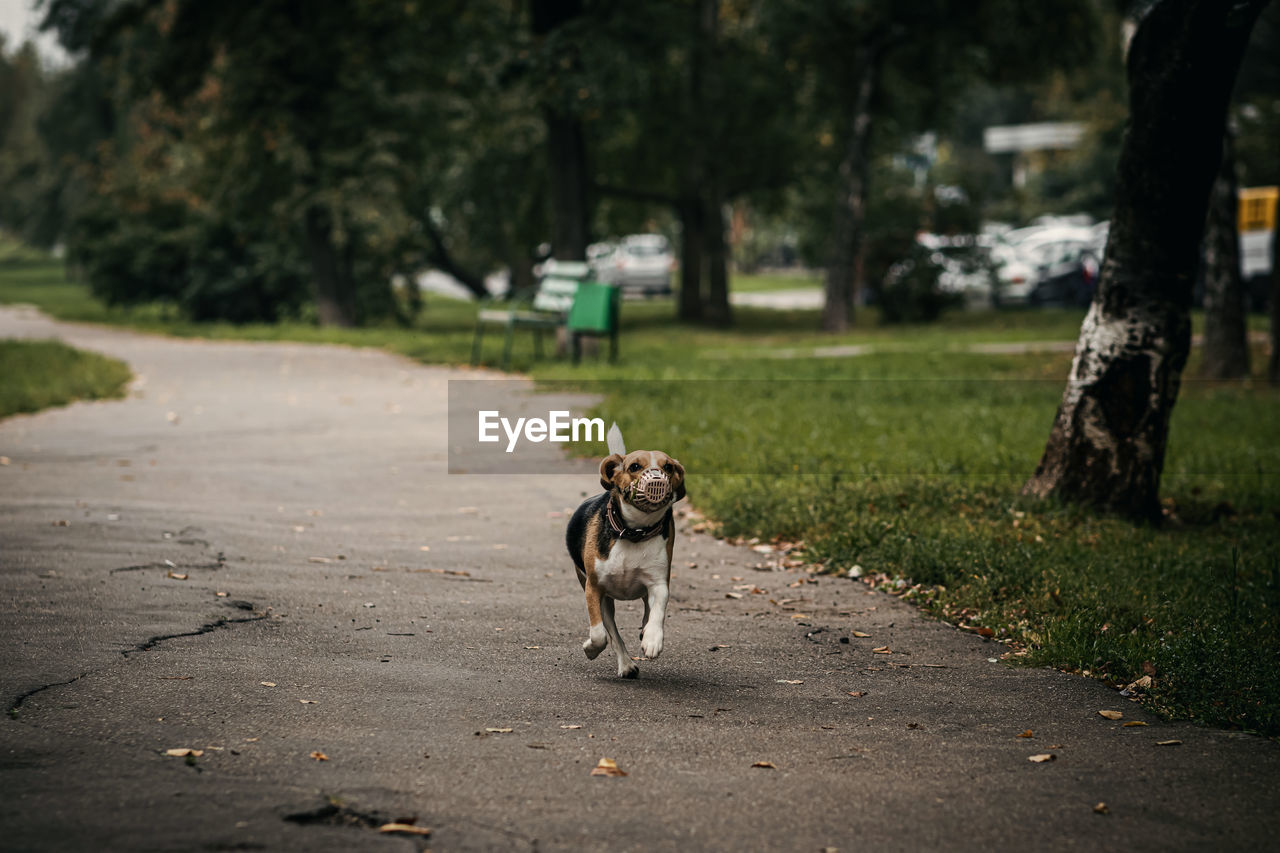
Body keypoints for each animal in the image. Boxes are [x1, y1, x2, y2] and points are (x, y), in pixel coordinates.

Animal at [568, 422, 686, 676]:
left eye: (668, 467)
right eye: (635, 467)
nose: (657, 478)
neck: (634, 532)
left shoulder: (658, 582)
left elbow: (658, 609)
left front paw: (652, 639)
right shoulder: (594, 588)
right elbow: (600, 635)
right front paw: (590, 648)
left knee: (647, 608)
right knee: (612, 632)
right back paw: (626, 665)